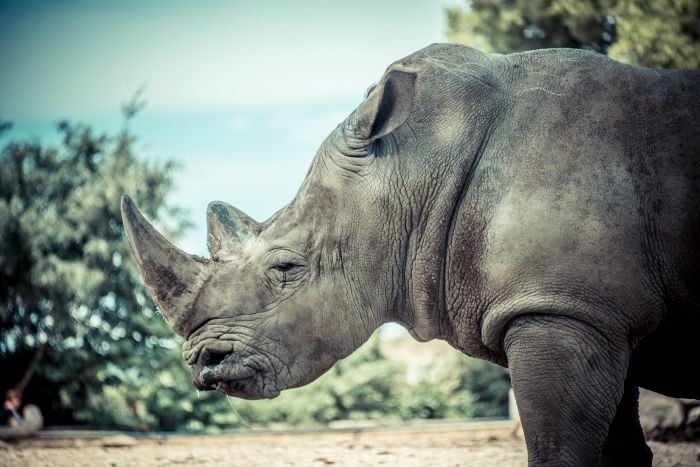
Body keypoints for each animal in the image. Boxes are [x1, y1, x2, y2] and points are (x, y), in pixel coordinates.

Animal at [121, 44, 700, 466]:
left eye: (285, 268)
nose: (203, 364)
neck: (413, 169)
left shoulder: (563, 308)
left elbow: (558, 452)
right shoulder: (596, 312)